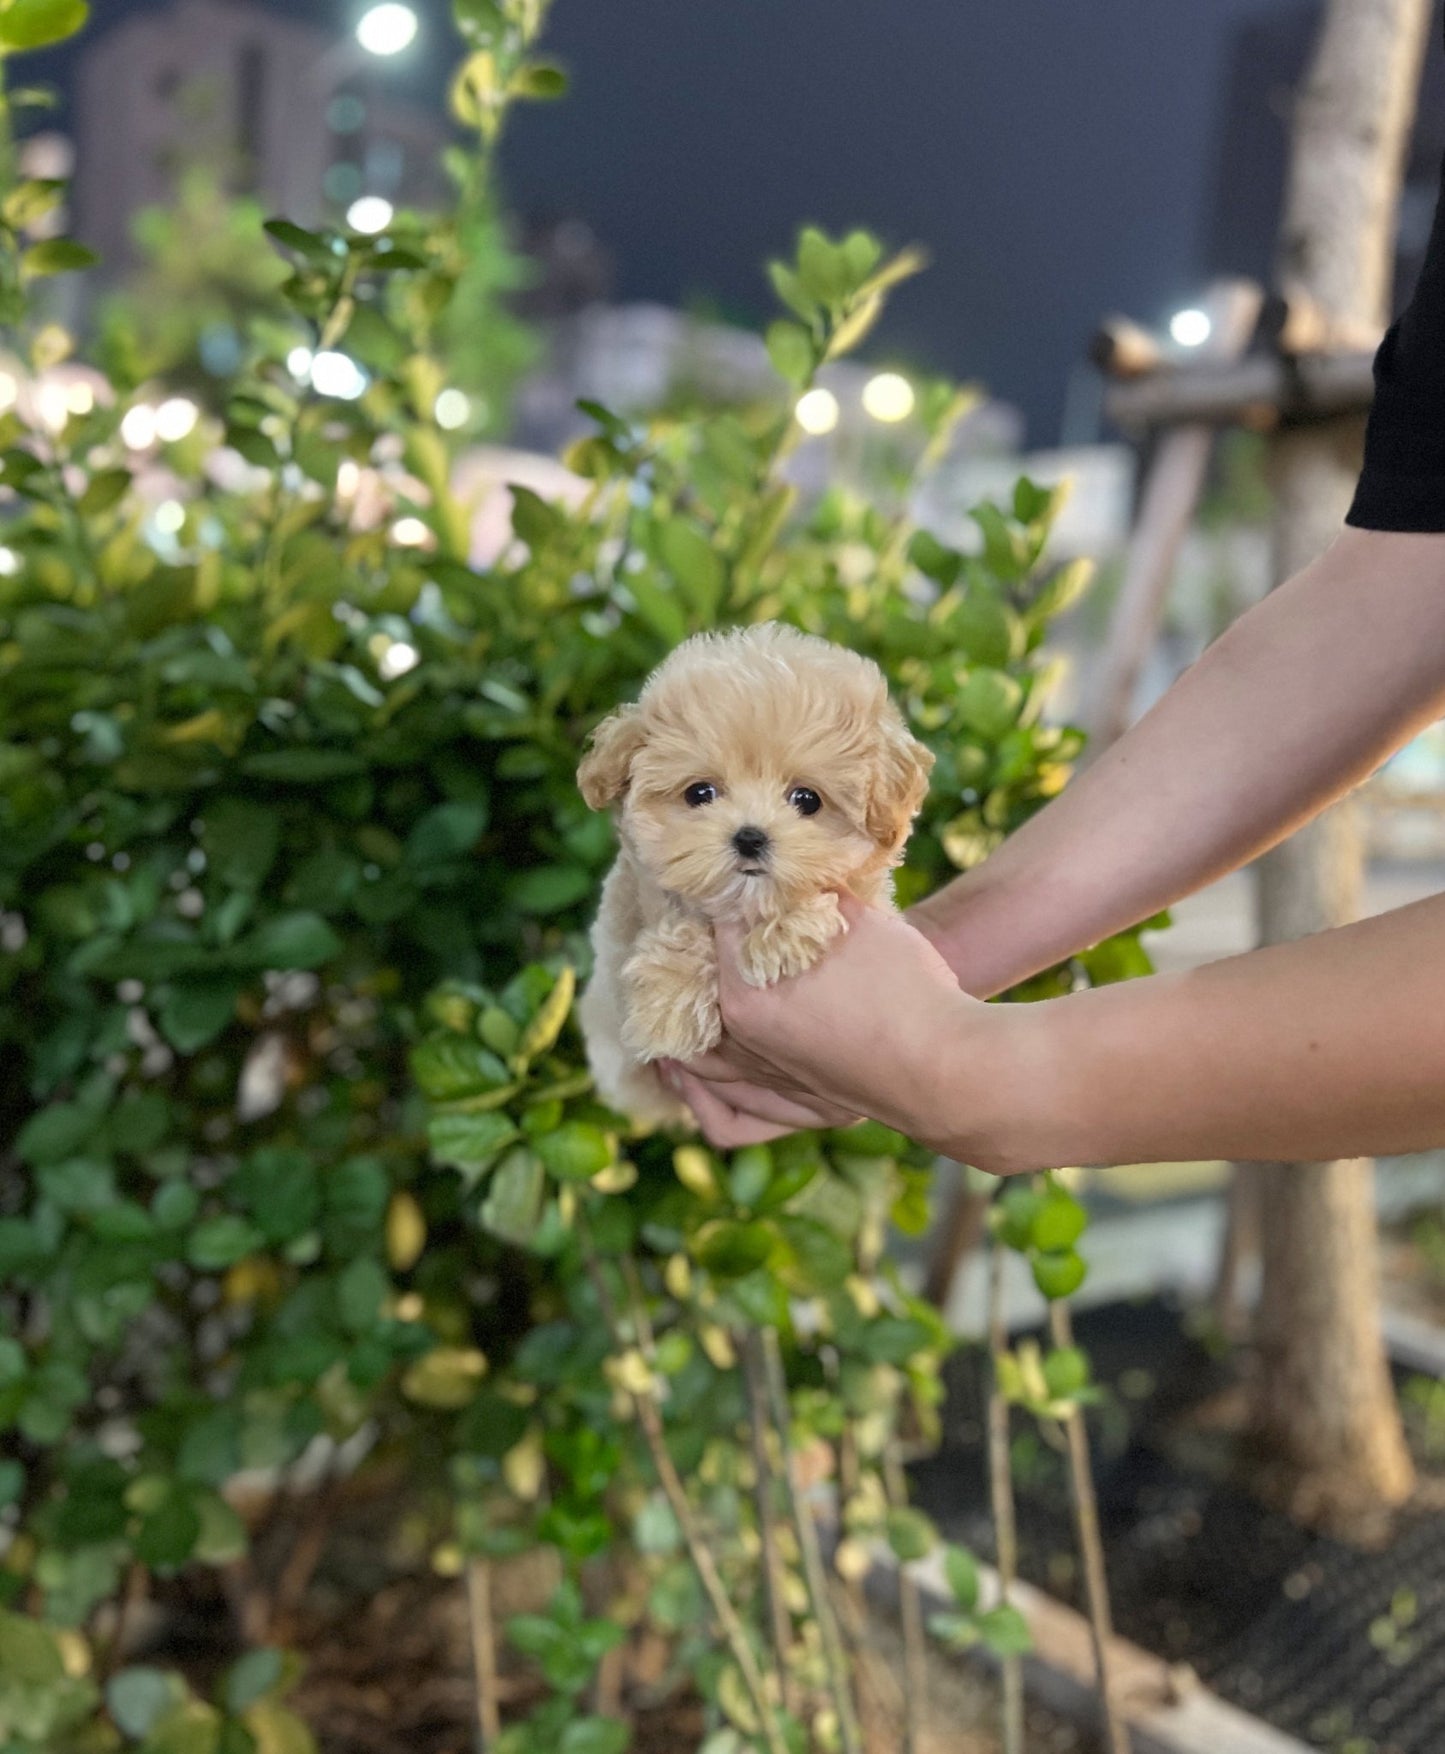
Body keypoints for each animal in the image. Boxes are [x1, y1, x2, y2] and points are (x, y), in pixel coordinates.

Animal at [578, 624, 939, 1129]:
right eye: (700, 793)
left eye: (807, 799)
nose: (750, 837)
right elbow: (678, 922)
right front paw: (670, 1004)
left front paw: (783, 933)